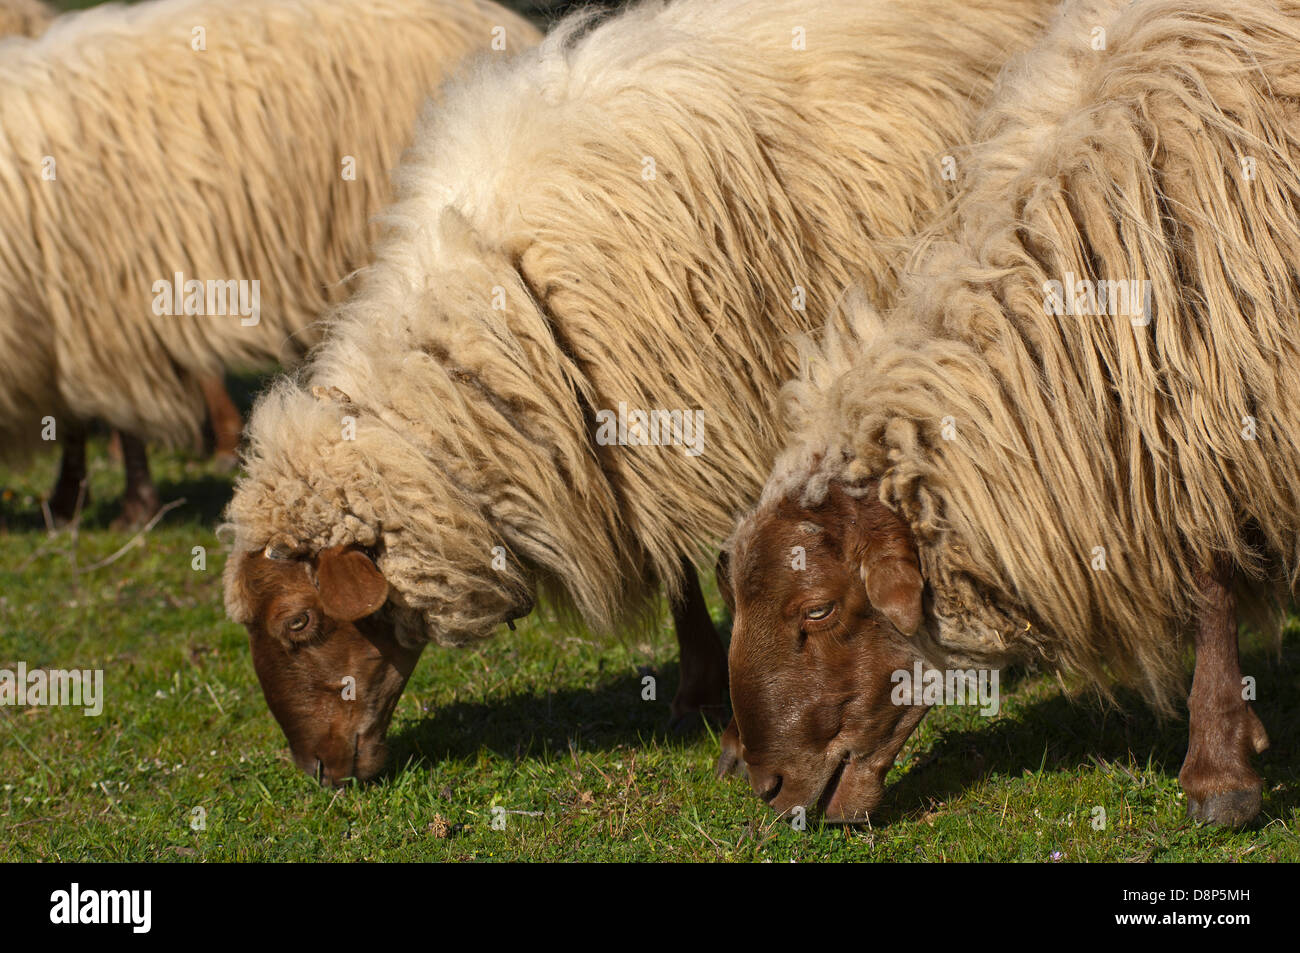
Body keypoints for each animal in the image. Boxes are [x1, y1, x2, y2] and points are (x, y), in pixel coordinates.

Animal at [220, 0, 1055, 785]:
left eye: (297, 623)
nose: (316, 771)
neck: (505, 316)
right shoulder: (640, 437)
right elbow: (679, 568)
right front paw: (698, 688)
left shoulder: (725, 406)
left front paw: (735, 730)